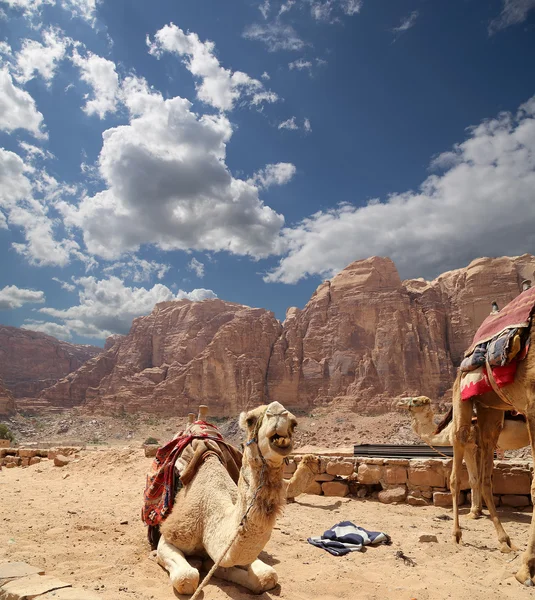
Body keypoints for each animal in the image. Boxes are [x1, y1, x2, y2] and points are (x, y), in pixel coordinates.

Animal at [400, 396, 528, 516]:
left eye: (415, 400)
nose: (400, 402)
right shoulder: (479, 448)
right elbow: (480, 479)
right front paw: (479, 509)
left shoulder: (468, 445)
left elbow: (473, 480)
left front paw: (473, 512)